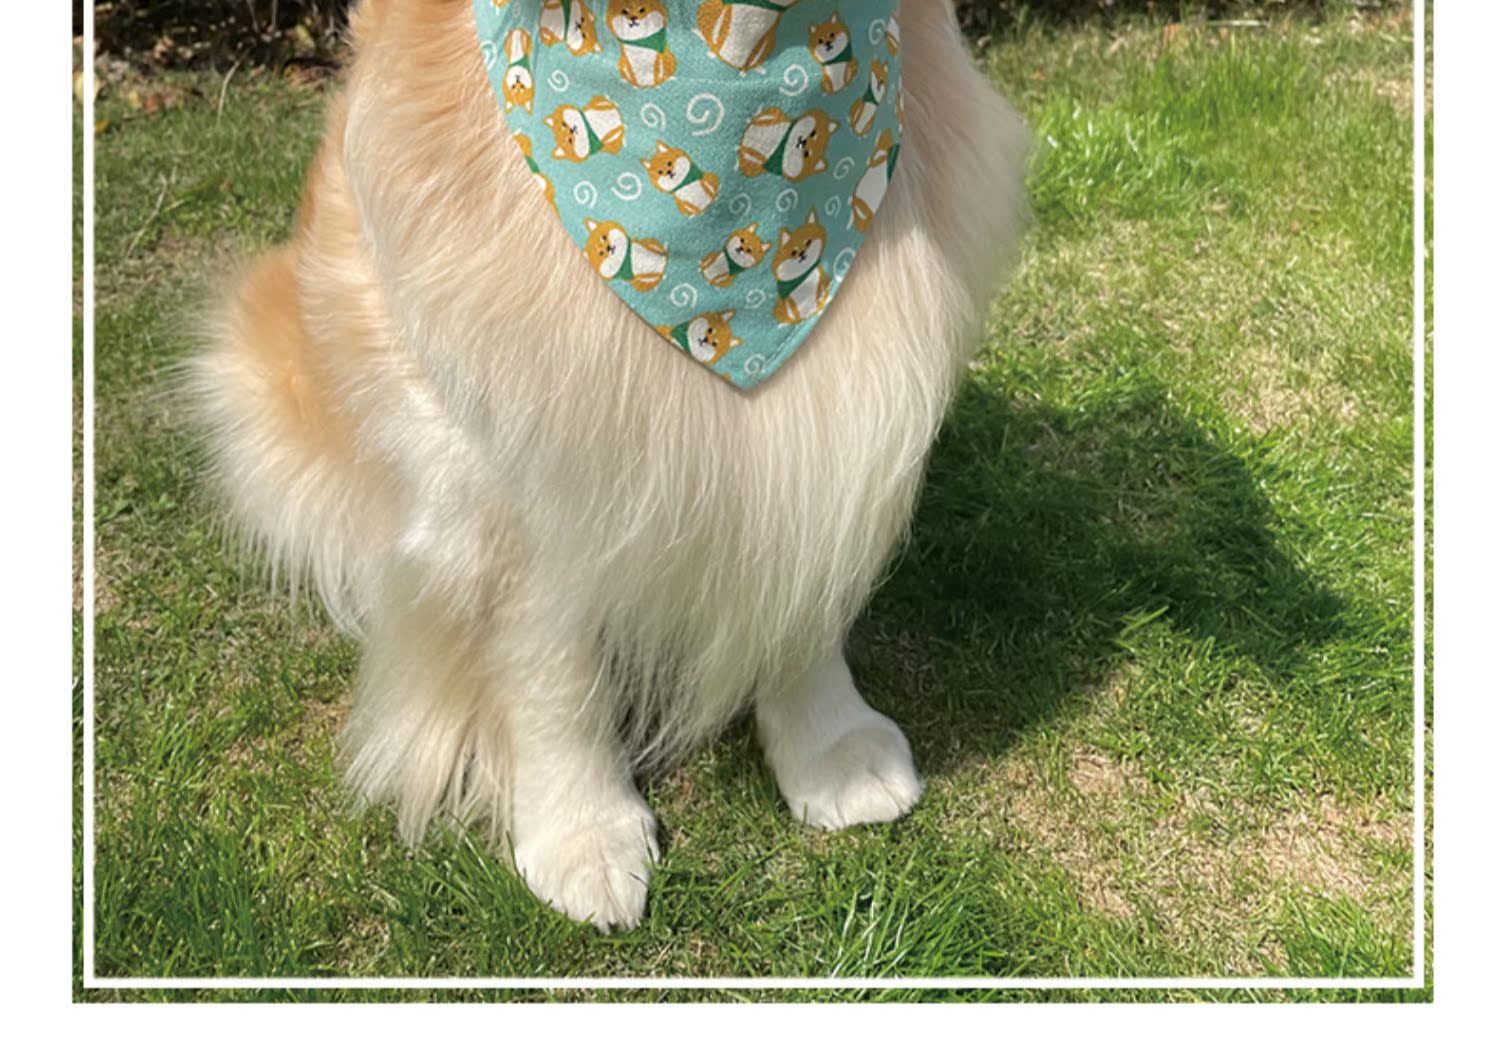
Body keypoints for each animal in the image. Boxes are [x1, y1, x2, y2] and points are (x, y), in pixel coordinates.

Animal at [188, 0, 1029, 932]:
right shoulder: (506, 467)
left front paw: (828, 748)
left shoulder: (834, 408)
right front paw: (580, 828)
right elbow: (551, 670)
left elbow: (801, 588)